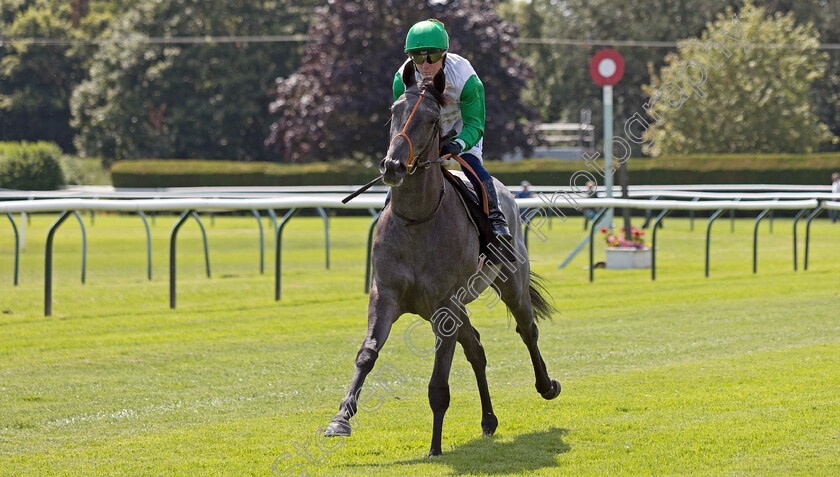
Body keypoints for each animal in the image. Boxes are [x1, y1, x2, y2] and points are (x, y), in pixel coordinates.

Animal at [324, 63, 560, 454]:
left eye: (433, 119)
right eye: (394, 111)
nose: (393, 166)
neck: (417, 222)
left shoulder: (445, 306)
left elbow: (438, 382)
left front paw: (435, 446)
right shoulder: (385, 294)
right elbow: (367, 353)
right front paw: (341, 418)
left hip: (510, 283)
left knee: (527, 328)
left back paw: (546, 385)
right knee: (476, 347)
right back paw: (488, 419)